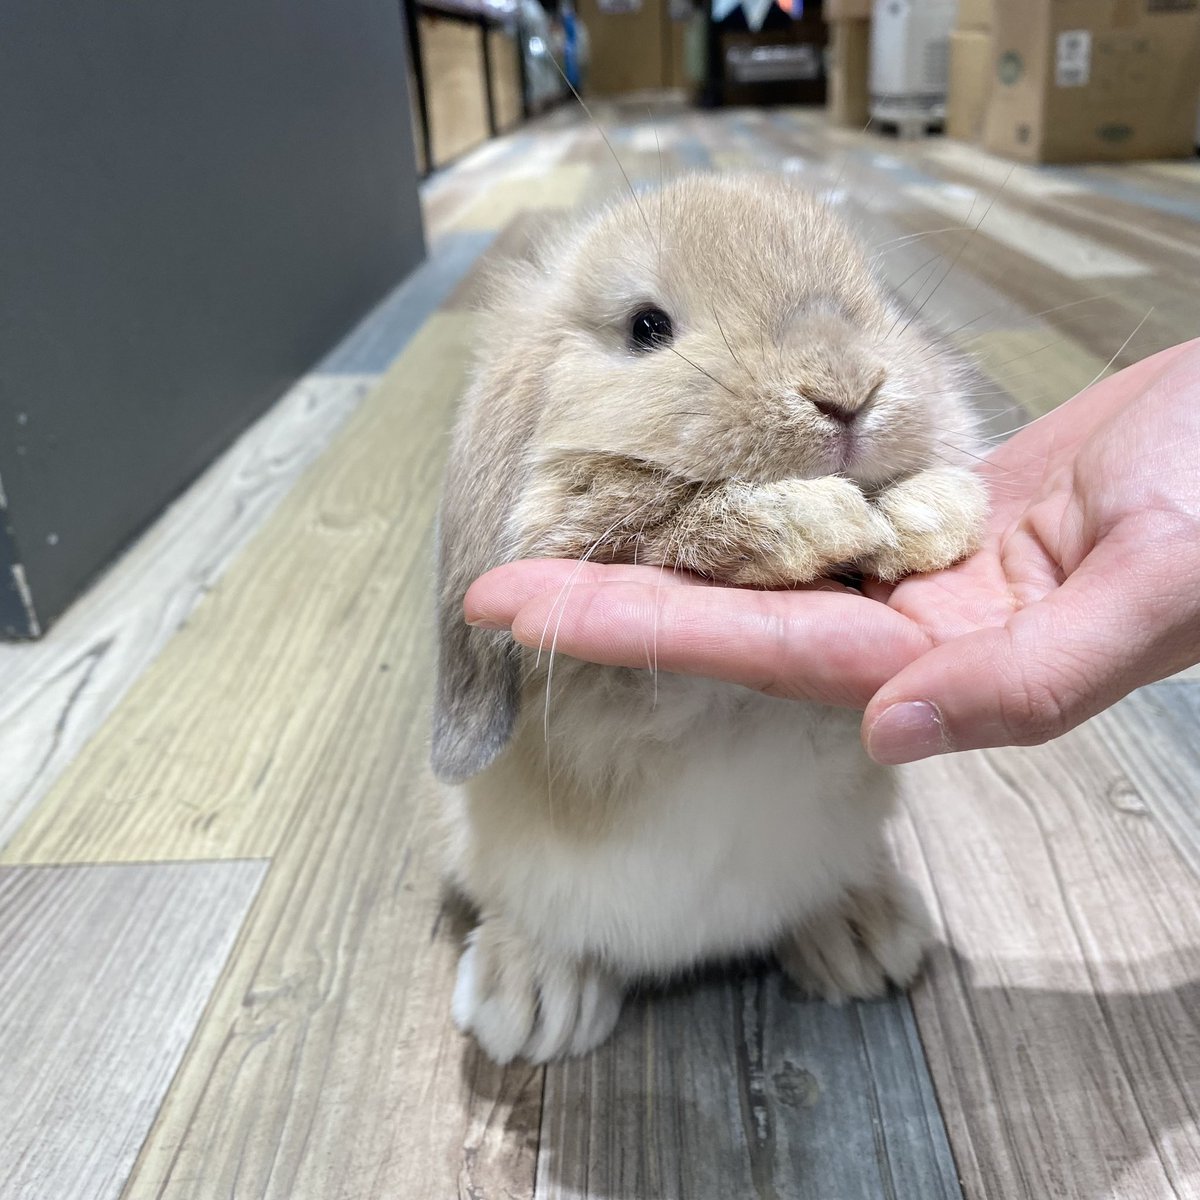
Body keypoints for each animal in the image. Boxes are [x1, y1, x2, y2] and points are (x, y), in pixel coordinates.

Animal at [432, 173, 988, 1065]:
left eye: (871, 300)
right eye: (645, 328)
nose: (847, 392)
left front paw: (918, 521)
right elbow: (675, 520)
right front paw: (826, 522)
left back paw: (863, 935)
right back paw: (531, 1002)